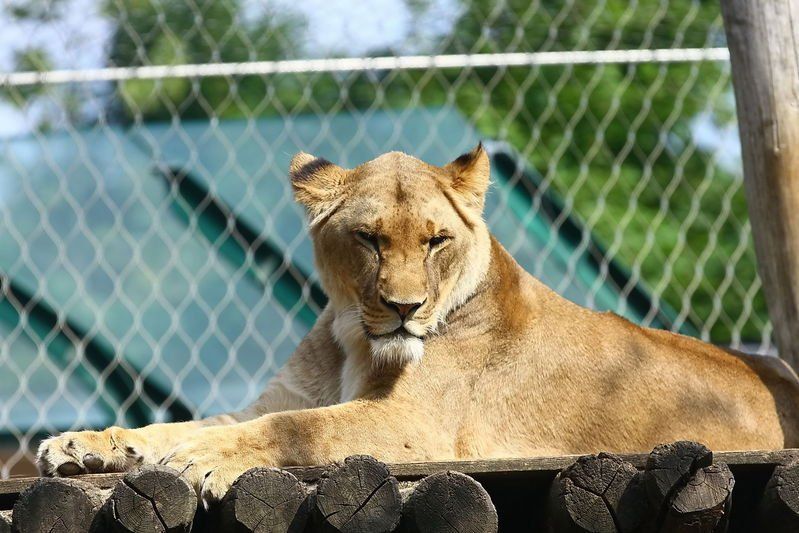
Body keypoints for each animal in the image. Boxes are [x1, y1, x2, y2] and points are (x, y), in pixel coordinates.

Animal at [37, 144, 799, 506]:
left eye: (435, 241)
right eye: (370, 239)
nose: (404, 308)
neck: (353, 339)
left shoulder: (417, 426)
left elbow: (293, 429)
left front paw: (199, 461)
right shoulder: (274, 398)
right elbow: (178, 424)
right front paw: (82, 444)